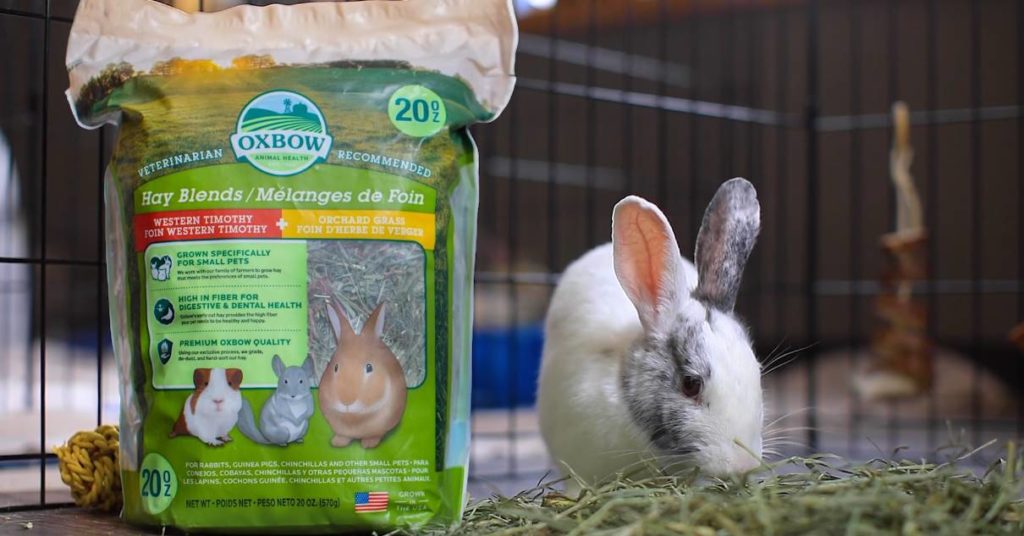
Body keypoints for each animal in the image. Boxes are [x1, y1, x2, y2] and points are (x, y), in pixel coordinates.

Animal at [317, 294, 407, 449]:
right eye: (335, 367)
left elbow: (375, 435)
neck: (355, 415)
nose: (346, 401)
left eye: (369, 367)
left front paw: (368, 444)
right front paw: (337, 443)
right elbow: (343, 436)